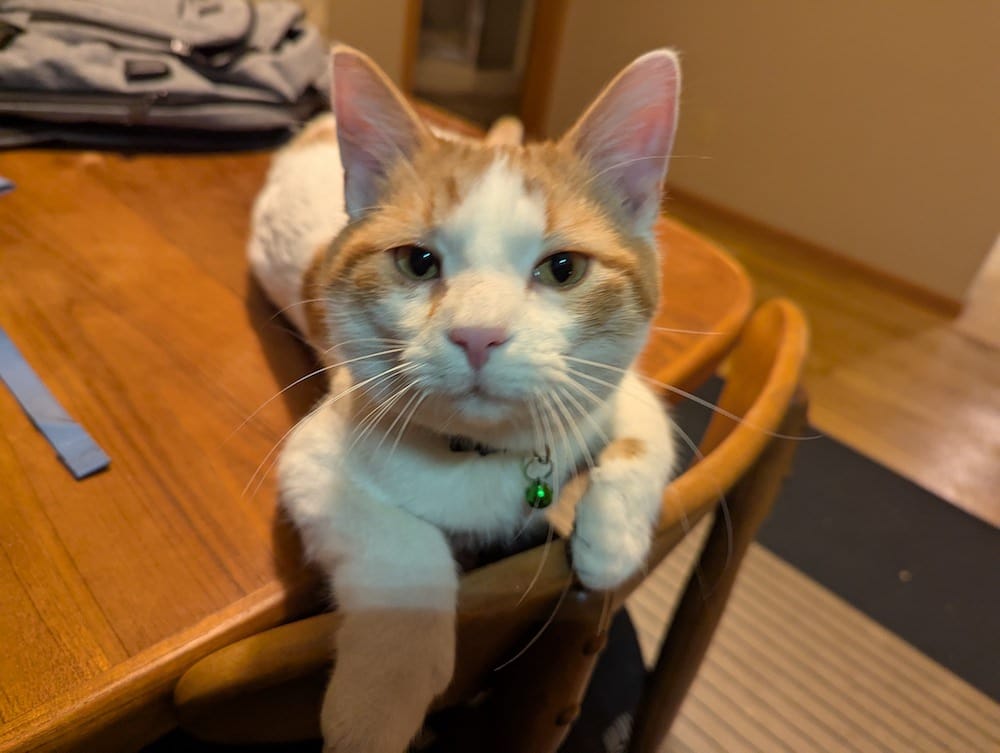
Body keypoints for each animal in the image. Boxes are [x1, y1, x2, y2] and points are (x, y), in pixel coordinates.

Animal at [248, 45, 680, 752]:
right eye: (417, 261)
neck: (485, 454)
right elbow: (406, 551)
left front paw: (611, 543)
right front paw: (378, 700)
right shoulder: (314, 456)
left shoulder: (614, 386)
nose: (479, 334)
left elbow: (647, 435)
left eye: (563, 269)